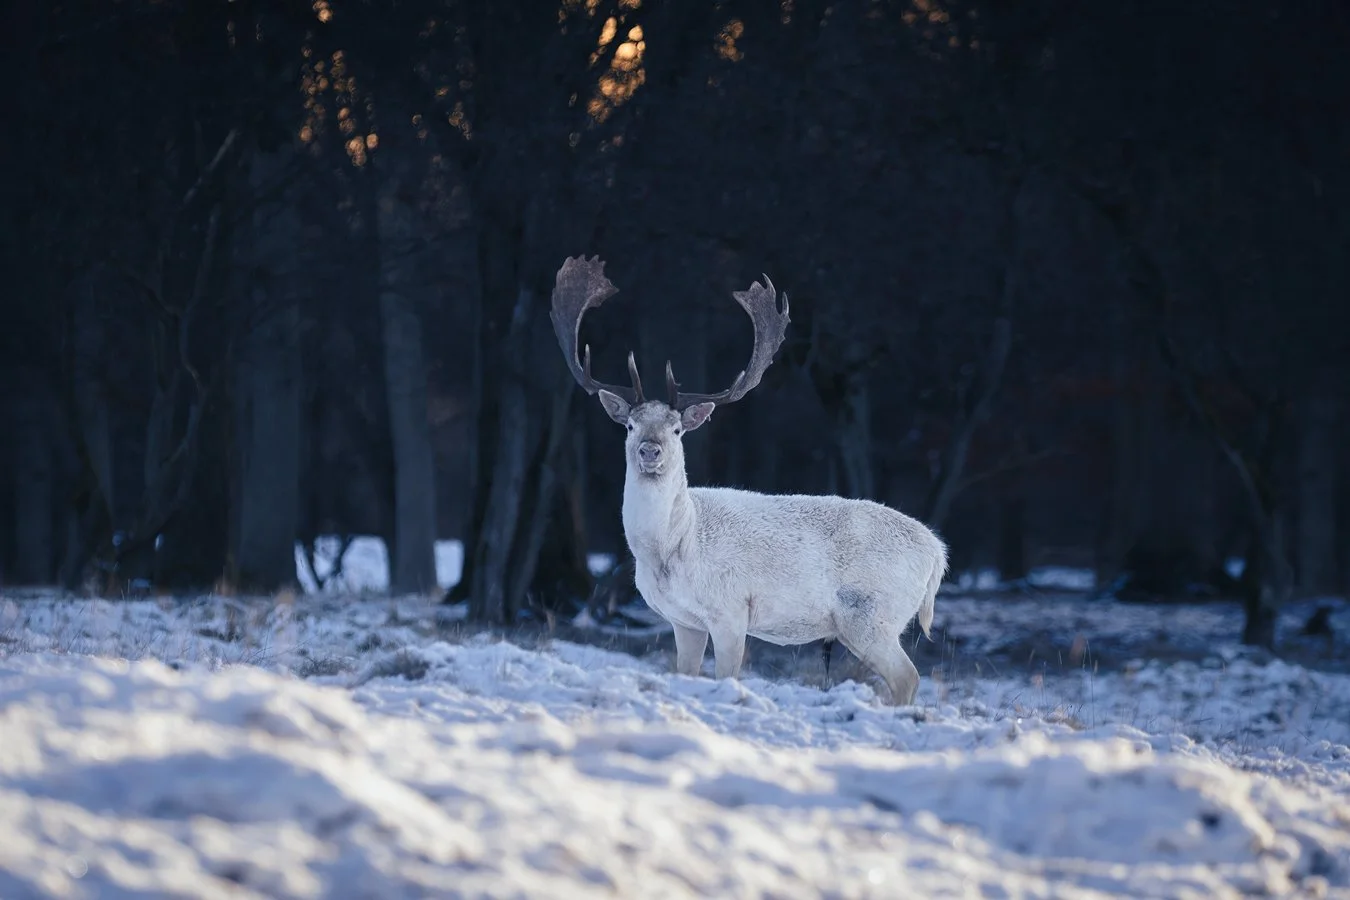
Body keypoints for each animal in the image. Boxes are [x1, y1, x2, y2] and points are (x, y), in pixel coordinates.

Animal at [550, 256, 948, 705]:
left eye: (677, 429)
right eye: (630, 425)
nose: (649, 451)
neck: (671, 549)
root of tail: (938, 554)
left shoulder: (731, 609)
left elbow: (728, 675)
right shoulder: (683, 620)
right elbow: (685, 673)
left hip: (870, 615)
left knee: (907, 676)